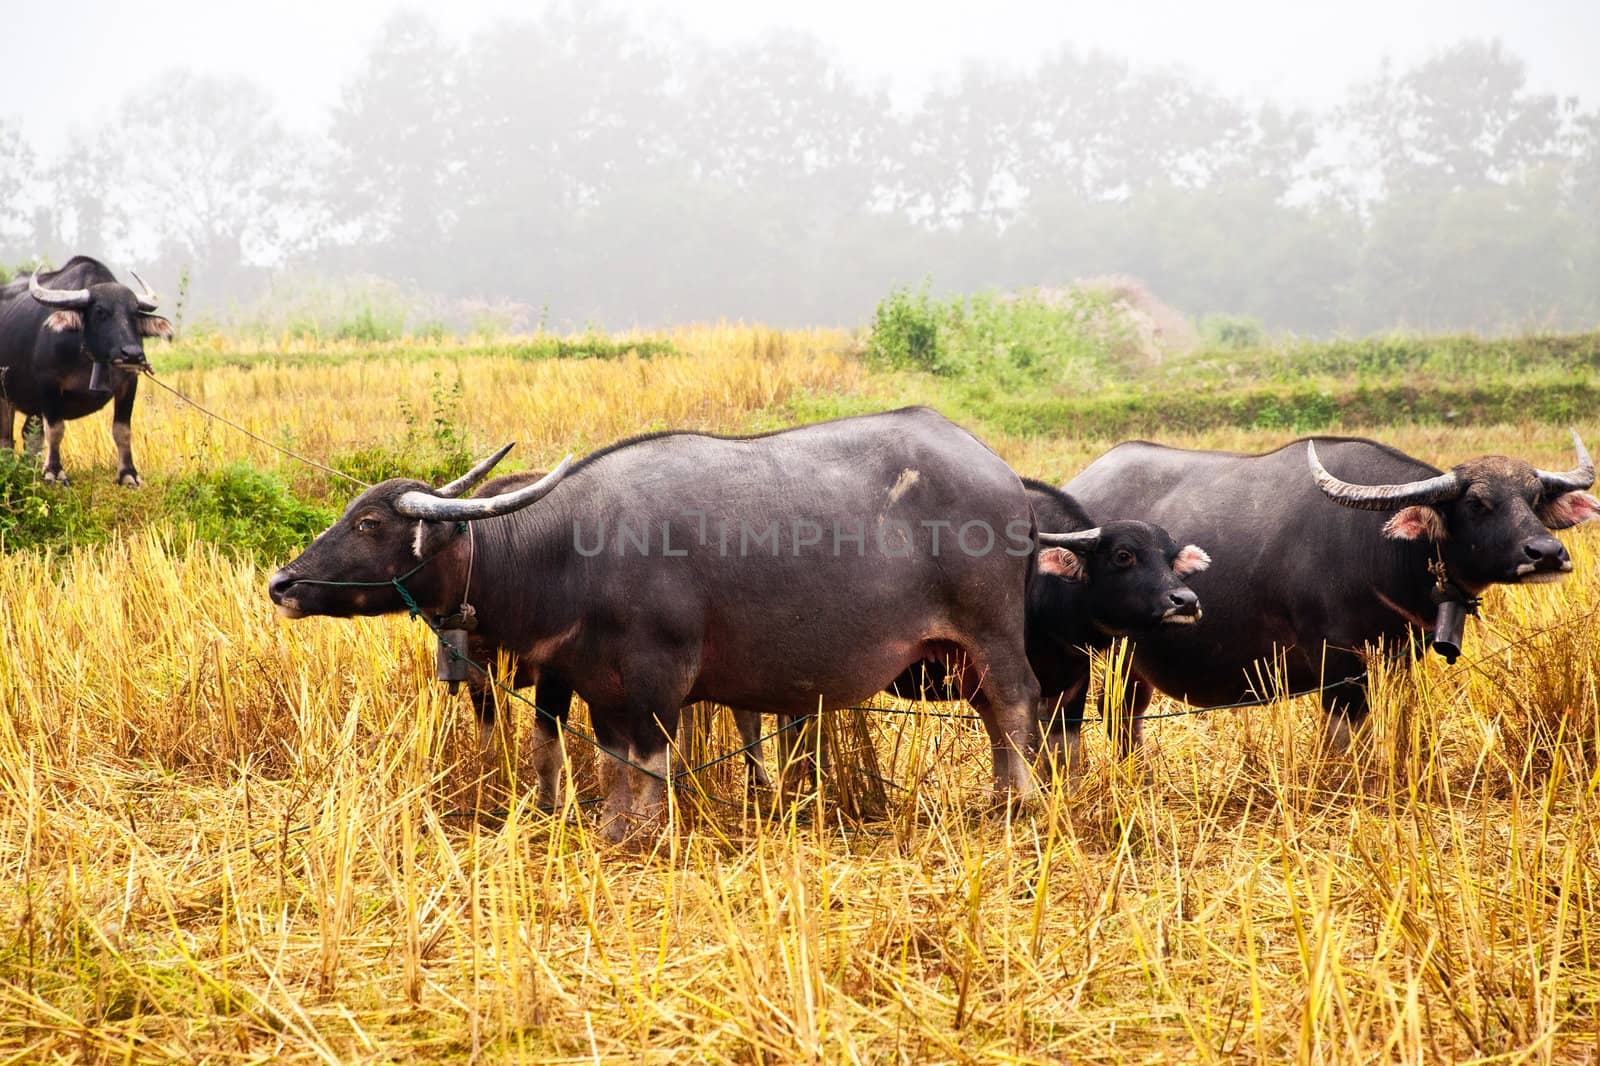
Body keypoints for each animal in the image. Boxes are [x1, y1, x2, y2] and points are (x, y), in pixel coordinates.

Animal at [0, 259, 172, 483]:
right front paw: (54, 472)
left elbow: (123, 431)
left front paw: (128, 474)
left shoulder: (129, 383)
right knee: (6, 438)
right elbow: (55, 430)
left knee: (29, 434)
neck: (89, 358)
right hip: (6, 398)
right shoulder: (49, 383)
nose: (132, 354)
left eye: (134, 313)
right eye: (100, 311)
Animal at [268, 409, 1043, 832]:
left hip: (994, 634)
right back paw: (998, 799)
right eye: (353, 511)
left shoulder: (657, 678)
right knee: (992, 715)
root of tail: (1004, 479)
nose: (282, 583)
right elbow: (612, 760)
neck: (571, 549)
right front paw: (615, 826)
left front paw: (647, 829)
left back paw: (1019, 804)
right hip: (961, 651)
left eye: (370, 524)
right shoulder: (595, 682)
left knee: (1015, 706)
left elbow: (651, 758)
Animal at [1062, 428, 1600, 745]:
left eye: (1533, 497)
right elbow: (1343, 740)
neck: (1382, 546)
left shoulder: (1396, 659)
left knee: (1125, 717)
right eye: (1477, 504)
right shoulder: (1337, 664)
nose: (1546, 553)